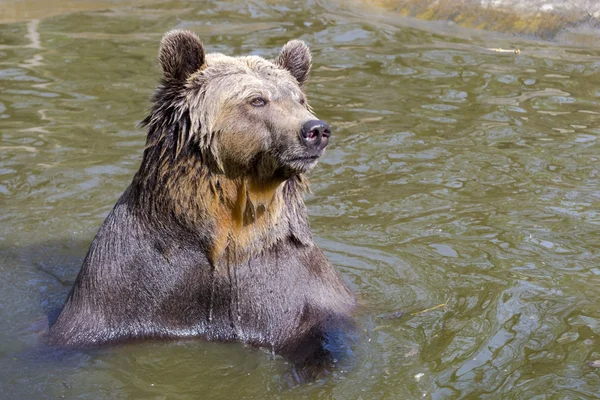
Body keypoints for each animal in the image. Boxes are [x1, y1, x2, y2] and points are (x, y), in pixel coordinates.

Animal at [48, 30, 356, 378]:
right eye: (258, 100)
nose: (315, 130)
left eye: (299, 99)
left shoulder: (288, 284)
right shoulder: (129, 287)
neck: (228, 226)